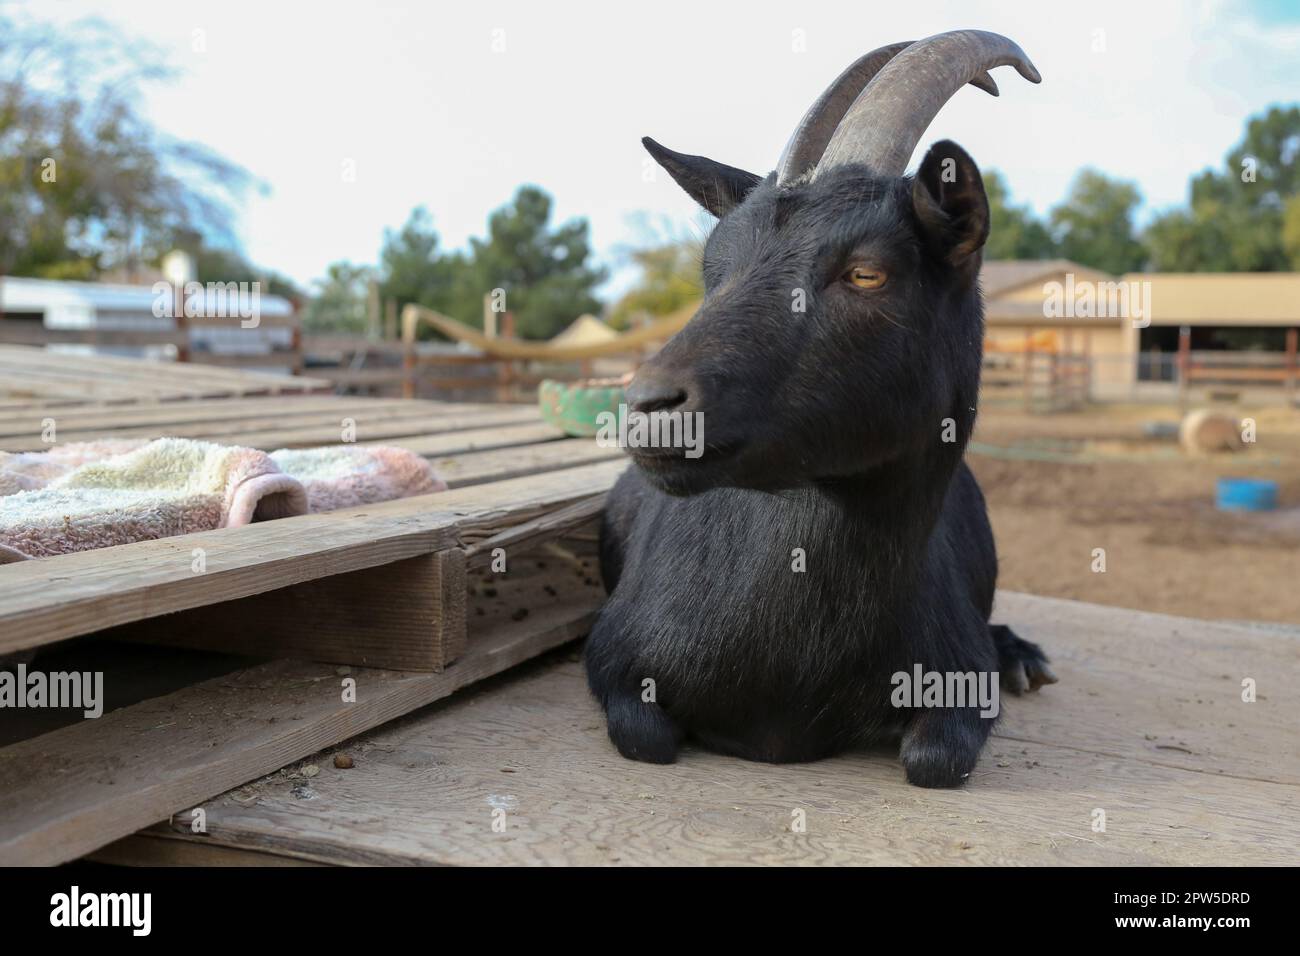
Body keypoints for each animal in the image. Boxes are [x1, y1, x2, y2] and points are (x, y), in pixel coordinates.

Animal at [585, 31, 1057, 788]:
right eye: (713, 268)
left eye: (866, 271)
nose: (653, 406)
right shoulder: (616, 664)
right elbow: (645, 739)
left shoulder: (958, 681)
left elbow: (934, 760)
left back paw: (1021, 656)